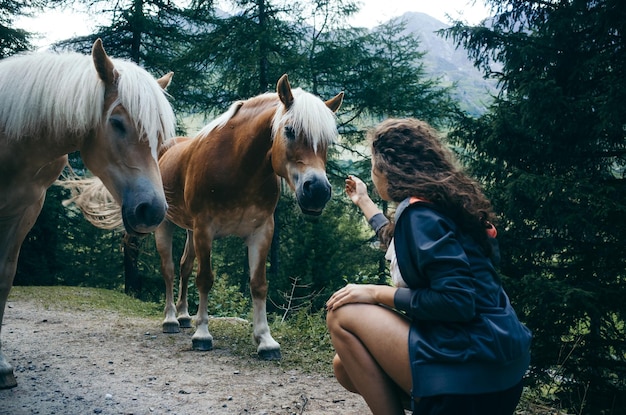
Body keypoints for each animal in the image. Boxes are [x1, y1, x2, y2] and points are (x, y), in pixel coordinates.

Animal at [155, 75, 342, 360]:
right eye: (289, 130)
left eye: (328, 141)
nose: (318, 191)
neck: (236, 166)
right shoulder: (205, 229)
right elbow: (205, 279)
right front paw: (203, 334)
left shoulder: (261, 232)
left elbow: (258, 284)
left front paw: (265, 340)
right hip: (167, 226)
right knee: (169, 270)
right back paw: (171, 320)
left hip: (189, 230)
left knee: (185, 267)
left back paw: (185, 316)